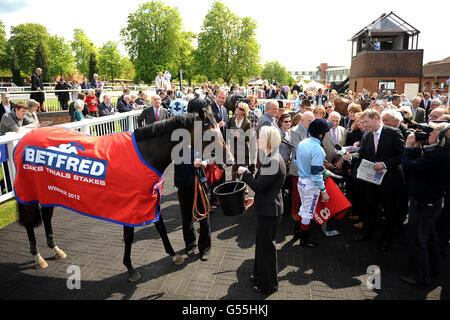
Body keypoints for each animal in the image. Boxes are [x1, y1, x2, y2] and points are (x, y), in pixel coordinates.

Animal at [14, 108, 232, 282]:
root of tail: (25, 139)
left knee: (47, 216)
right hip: (29, 191)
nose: (229, 159)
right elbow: (129, 235)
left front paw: (173, 255)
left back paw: (56, 249)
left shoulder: (150, 198)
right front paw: (130, 268)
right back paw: (38, 257)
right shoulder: (129, 203)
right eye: (210, 134)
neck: (144, 155)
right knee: (29, 223)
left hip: (50, 190)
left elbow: (160, 227)